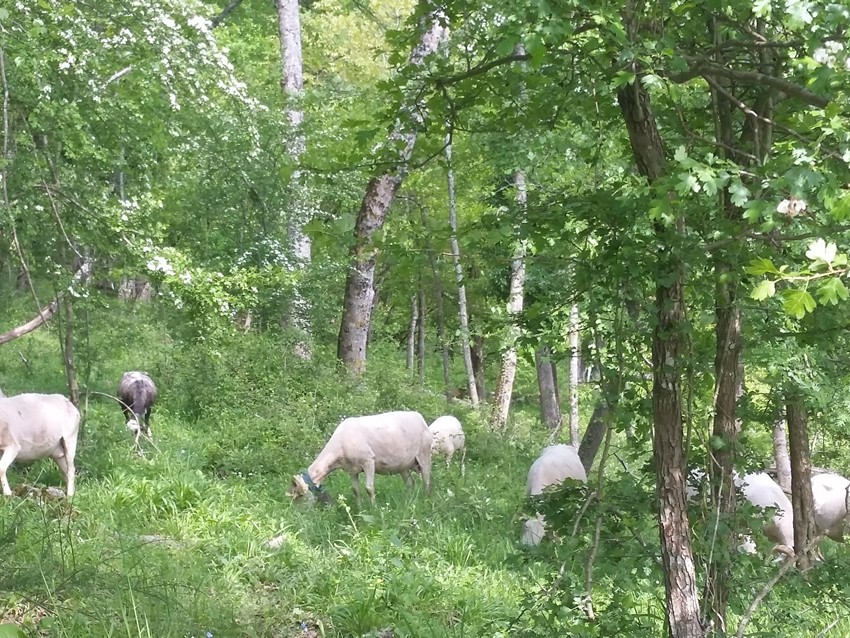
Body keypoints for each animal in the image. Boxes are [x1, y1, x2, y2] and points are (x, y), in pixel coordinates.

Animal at [290, 410, 434, 510]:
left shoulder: (368, 461)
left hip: (424, 453)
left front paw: (374, 508)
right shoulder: (351, 470)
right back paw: (409, 499)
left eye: (299, 496)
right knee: (410, 482)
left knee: (427, 479)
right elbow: (356, 490)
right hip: (403, 464)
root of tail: (419, 417)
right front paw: (360, 509)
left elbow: (369, 488)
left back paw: (426, 498)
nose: (297, 515)